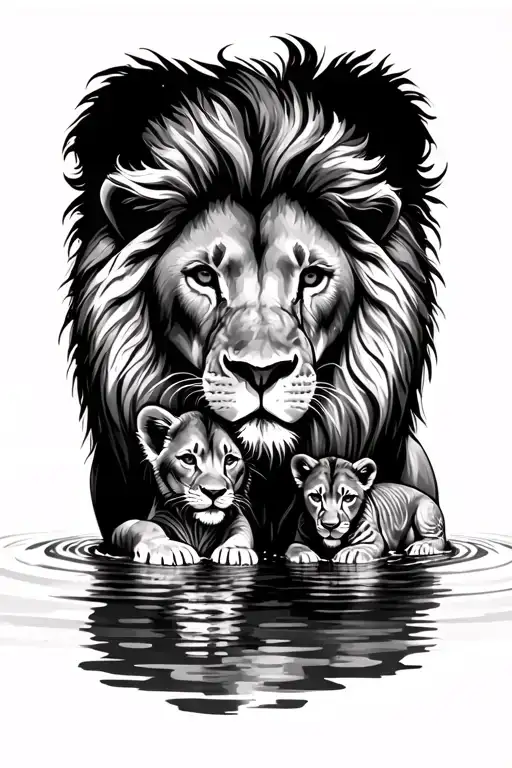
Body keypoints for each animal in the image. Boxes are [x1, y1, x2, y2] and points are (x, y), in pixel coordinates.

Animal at [286, 454, 447, 564]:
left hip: (425, 512)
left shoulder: (373, 540)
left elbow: (361, 548)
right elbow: (293, 547)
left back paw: (422, 546)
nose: (330, 526)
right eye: (316, 497)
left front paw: (350, 553)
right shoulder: (299, 539)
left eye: (348, 498)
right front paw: (303, 555)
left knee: (439, 539)